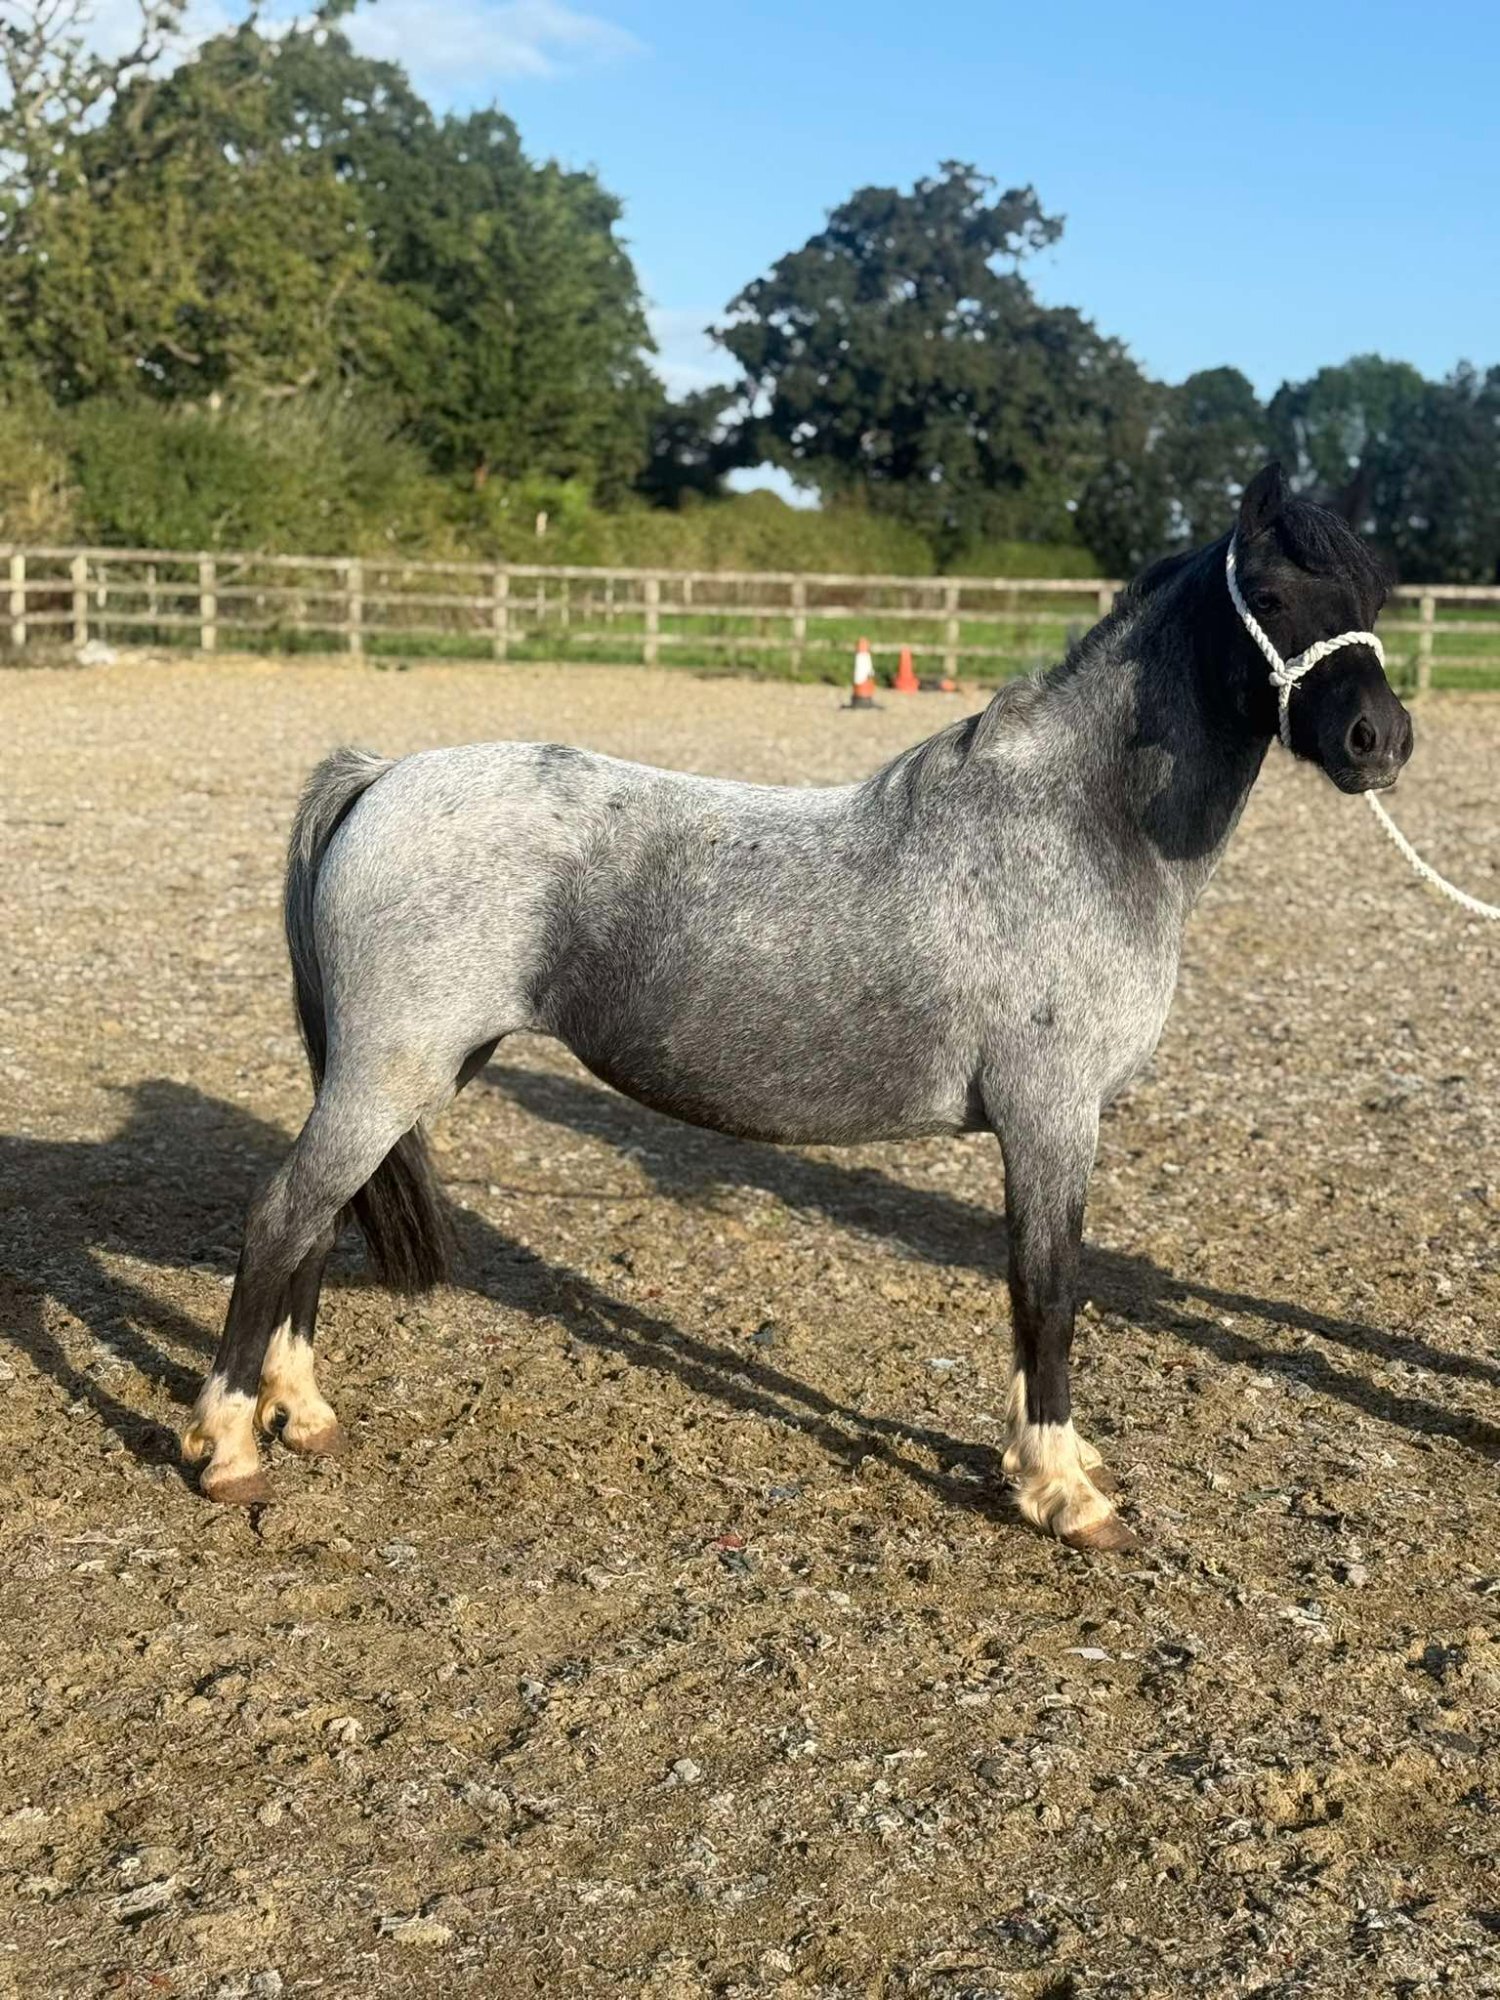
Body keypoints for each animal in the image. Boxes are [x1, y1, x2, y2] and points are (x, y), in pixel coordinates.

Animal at [182, 462, 1412, 1550]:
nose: (1381, 741)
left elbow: (1039, 1294)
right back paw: (229, 1447)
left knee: (318, 1222)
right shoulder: (1051, 1119)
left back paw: (302, 1412)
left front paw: (1045, 1460)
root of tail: (381, 776)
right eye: (1274, 592)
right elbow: (1049, 1291)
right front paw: (1064, 1492)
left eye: (1376, 598)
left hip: (405, 1073)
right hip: (387, 1070)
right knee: (283, 1216)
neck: (1079, 824)